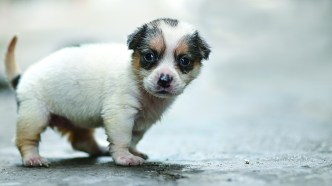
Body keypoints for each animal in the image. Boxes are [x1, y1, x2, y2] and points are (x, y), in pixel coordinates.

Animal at [3, 18, 210, 167]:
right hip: (34, 117)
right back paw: (32, 159)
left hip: (75, 119)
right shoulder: (121, 115)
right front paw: (124, 157)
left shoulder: (143, 121)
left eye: (184, 61)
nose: (165, 80)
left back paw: (100, 149)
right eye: (149, 56)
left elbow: (134, 138)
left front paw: (131, 151)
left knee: (81, 142)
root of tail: (22, 78)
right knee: (25, 141)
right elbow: (123, 138)